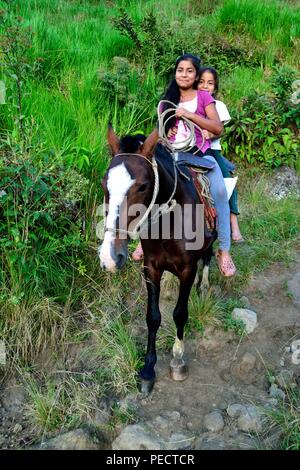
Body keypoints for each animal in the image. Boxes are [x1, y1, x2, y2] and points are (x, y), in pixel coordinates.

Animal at [99, 126, 217, 394]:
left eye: (143, 186)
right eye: (104, 184)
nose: (109, 257)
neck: (170, 222)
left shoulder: (187, 269)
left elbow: (180, 313)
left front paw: (178, 360)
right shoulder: (151, 268)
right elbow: (153, 318)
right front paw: (147, 370)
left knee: (209, 254)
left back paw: (204, 285)